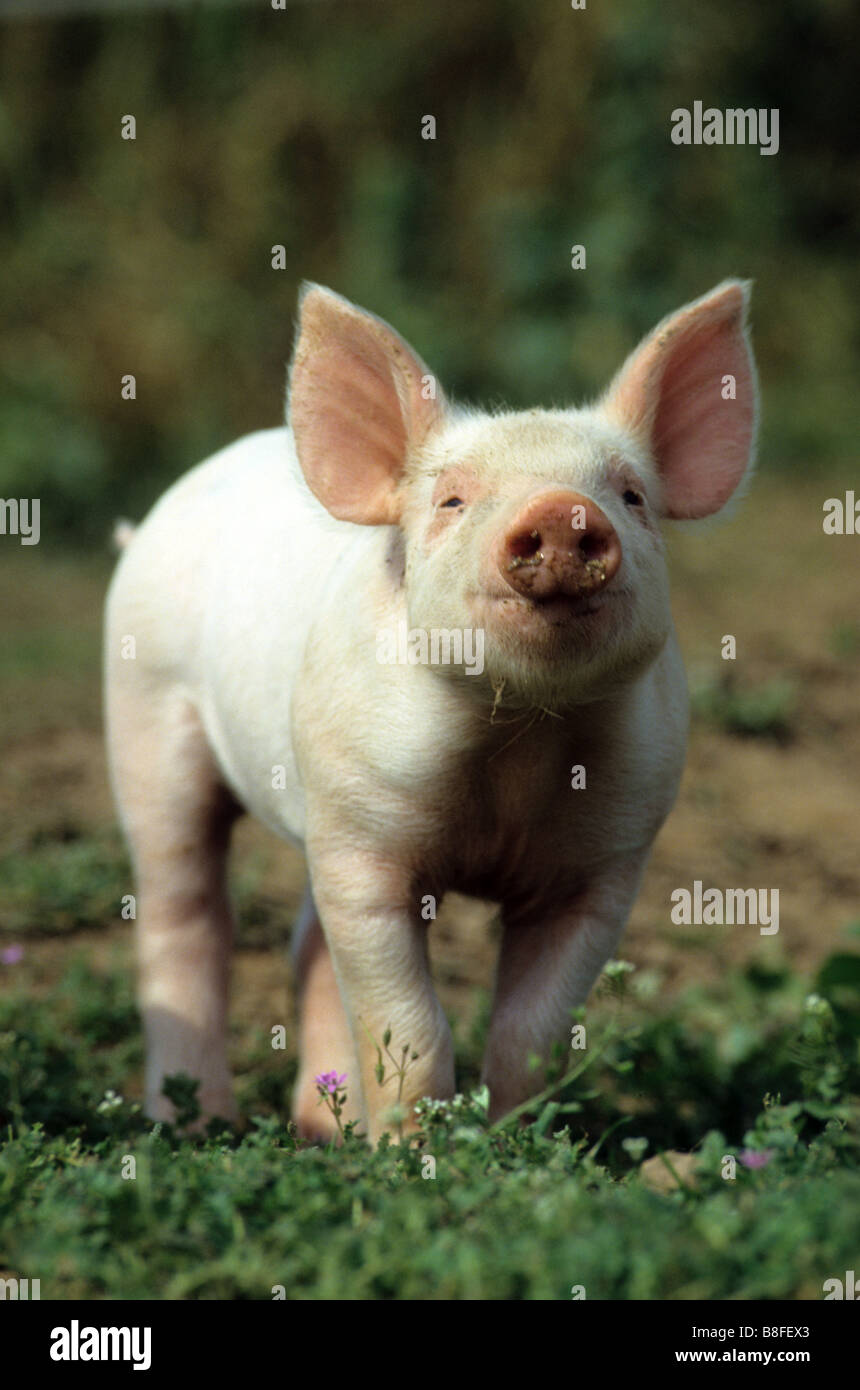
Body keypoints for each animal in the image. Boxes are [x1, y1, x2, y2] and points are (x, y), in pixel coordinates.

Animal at [104, 279, 757, 1143]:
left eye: (631, 495)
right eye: (451, 499)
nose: (562, 510)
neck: (519, 743)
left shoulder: (608, 863)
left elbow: (531, 1029)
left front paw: (520, 1142)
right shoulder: (364, 841)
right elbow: (409, 1024)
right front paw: (415, 1153)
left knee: (306, 943)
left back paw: (323, 1129)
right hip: (145, 711)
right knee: (185, 916)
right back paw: (194, 1126)